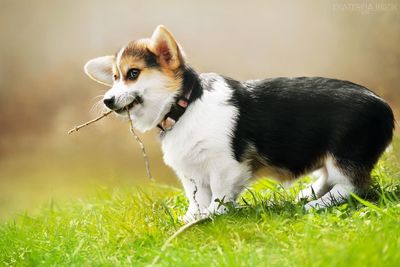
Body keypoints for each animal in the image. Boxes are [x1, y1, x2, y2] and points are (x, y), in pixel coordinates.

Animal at [83, 25, 394, 222]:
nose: (108, 101)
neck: (186, 107)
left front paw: (212, 216)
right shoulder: (192, 174)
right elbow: (196, 198)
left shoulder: (225, 166)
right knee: (330, 178)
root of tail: (384, 106)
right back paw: (307, 194)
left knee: (354, 187)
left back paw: (317, 204)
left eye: (133, 74)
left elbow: (219, 195)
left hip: (344, 156)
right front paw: (191, 218)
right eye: (114, 77)